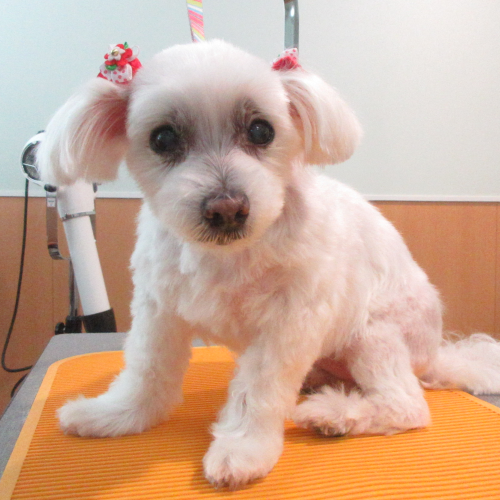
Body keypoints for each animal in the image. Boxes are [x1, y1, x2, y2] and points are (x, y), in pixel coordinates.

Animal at [37, 39, 500, 488]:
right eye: (163, 138)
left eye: (261, 130)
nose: (227, 208)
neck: (227, 256)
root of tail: (436, 356)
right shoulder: (159, 307)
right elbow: (146, 369)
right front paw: (116, 414)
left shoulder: (288, 322)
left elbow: (258, 389)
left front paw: (244, 448)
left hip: (375, 334)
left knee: (406, 405)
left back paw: (334, 414)